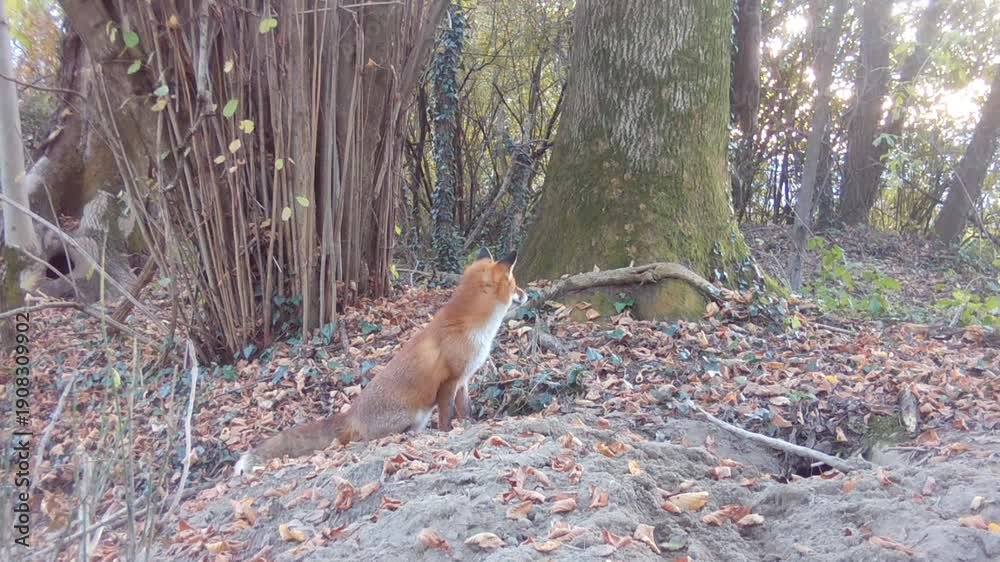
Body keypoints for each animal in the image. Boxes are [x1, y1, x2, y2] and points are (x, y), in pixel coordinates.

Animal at [233, 247, 527, 475]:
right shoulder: (449, 381)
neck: (471, 326)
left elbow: (466, 410)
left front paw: (470, 425)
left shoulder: (463, 379)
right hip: (412, 413)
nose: (528, 295)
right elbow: (447, 417)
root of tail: (351, 413)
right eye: (515, 284)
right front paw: (447, 432)